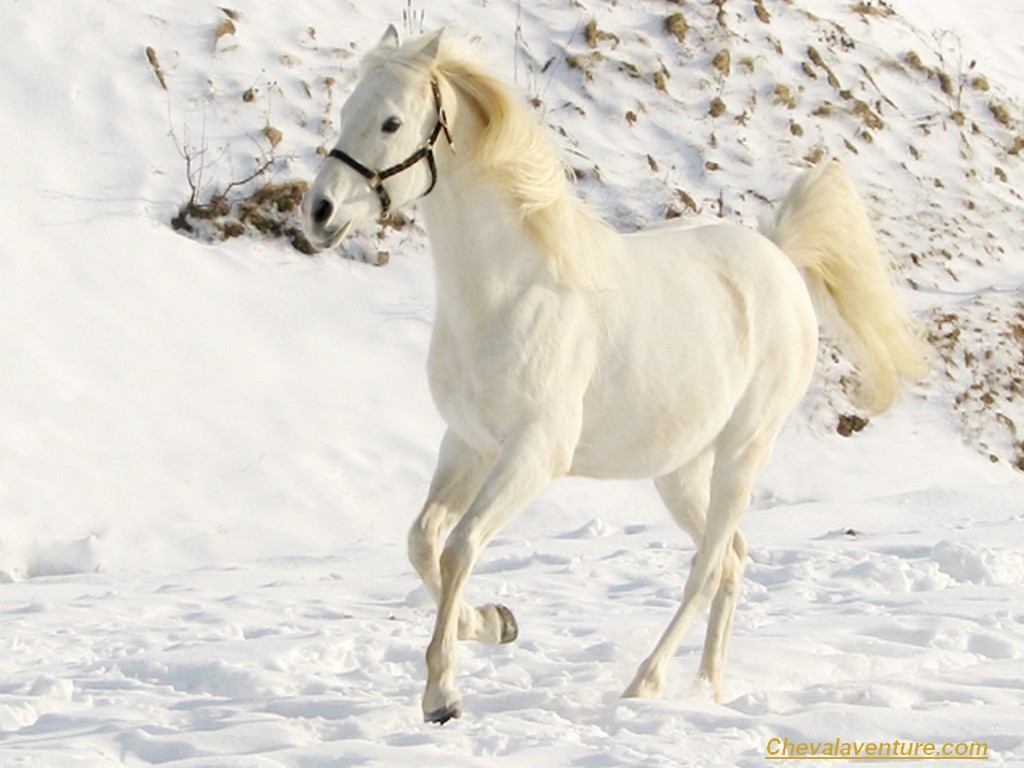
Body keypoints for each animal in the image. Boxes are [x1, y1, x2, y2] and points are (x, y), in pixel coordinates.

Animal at [301, 26, 928, 724]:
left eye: (390, 121)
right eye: (347, 109)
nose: (319, 211)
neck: (509, 292)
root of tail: (780, 256)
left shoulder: (534, 453)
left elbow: (461, 546)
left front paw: (444, 692)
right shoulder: (466, 443)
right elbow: (423, 540)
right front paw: (495, 622)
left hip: (744, 450)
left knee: (707, 568)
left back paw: (645, 684)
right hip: (680, 471)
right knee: (733, 561)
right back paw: (708, 688)